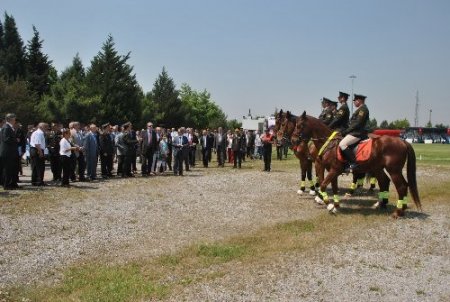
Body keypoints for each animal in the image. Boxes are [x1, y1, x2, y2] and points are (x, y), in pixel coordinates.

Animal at [292, 110, 422, 217]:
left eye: (300, 126)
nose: (293, 140)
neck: (329, 143)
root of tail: (403, 141)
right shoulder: (332, 171)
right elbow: (333, 188)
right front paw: (335, 205)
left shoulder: (334, 170)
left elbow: (323, 185)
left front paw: (329, 205)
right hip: (378, 168)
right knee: (385, 182)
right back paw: (381, 205)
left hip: (394, 170)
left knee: (401, 186)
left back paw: (398, 211)